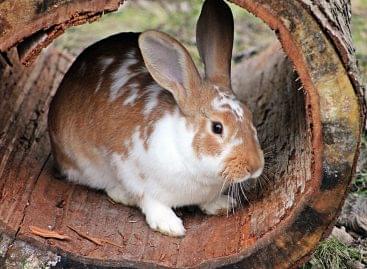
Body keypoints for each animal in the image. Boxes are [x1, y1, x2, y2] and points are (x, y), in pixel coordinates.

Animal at [48, 0, 264, 236]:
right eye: (217, 127)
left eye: (250, 115)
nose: (255, 166)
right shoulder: (132, 173)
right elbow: (150, 200)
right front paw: (170, 226)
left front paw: (222, 205)